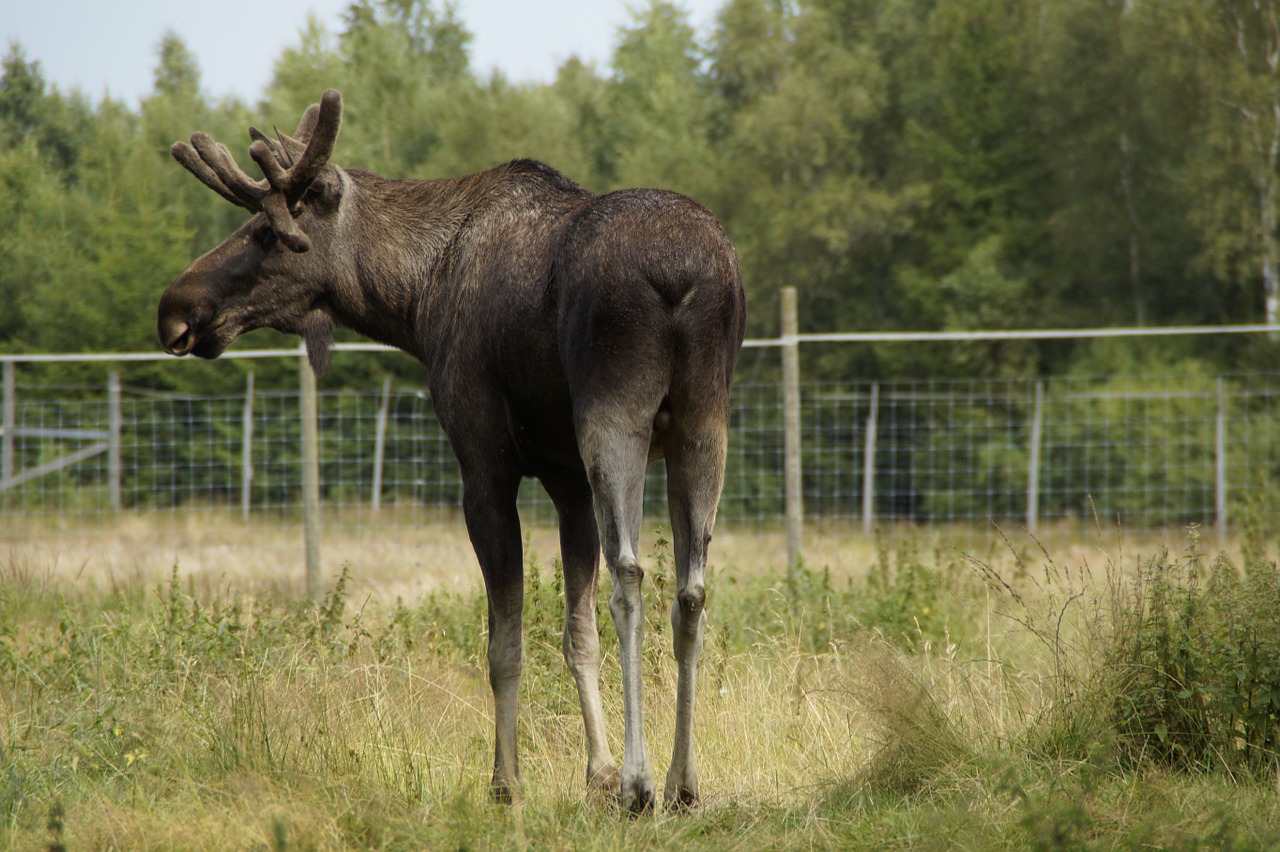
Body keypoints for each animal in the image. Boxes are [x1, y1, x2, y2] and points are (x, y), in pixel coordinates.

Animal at [154, 91, 747, 808]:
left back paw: (643, 781)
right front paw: (595, 774)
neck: (414, 298)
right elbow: (576, 635)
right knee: (692, 588)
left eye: (266, 233)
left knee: (631, 573)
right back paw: (684, 781)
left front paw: (509, 782)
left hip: (615, 413)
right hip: (705, 420)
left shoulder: (483, 461)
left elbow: (504, 642)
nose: (176, 309)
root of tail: (680, 275)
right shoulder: (565, 477)